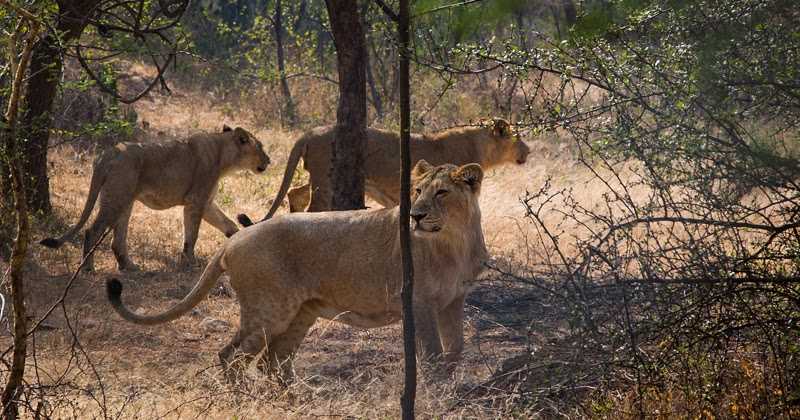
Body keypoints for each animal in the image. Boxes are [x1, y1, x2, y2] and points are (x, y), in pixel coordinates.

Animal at [41, 125, 270, 272]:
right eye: (260, 147)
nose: (269, 160)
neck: (224, 156)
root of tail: (108, 153)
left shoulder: (206, 203)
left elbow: (228, 224)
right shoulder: (196, 201)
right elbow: (192, 234)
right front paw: (190, 263)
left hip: (124, 199)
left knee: (117, 239)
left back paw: (129, 266)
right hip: (116, 198)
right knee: (93, 230)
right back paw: (88, 268)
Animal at [106, 160, 489, 380]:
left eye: (441, 193)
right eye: (418, 190)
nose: (416, 215)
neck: (455, 241)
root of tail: (234, 240)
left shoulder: (454, 300)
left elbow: (457, 348)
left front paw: (451, 383)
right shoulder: (417, 300)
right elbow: (434, 353)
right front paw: (437, 390)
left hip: (301, 312)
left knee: (273, 361)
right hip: (270, 310)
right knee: (232, 356)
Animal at [236, 118, 528, 226]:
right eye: (518, 137)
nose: (529, 150)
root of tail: (309, 133)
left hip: (318, 177)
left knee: (295, 193)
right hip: (325, 180)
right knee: (311, 208)